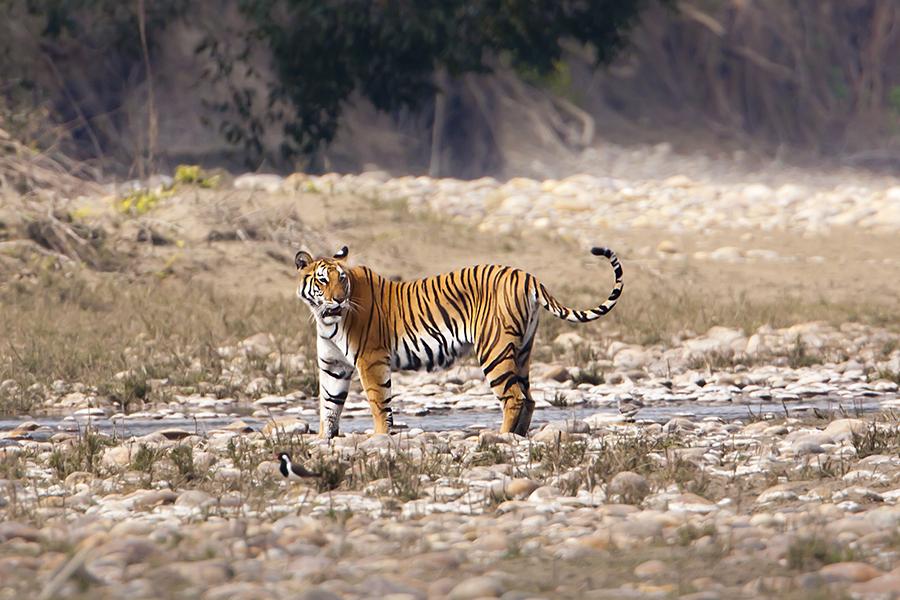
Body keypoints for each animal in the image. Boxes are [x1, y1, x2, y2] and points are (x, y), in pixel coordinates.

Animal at [294, 245, 623, 439]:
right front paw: (324, 439)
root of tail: (526, 275)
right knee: (528, 398)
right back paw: (517, 437)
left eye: (342, 279)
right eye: (323, 280)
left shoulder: (371, 359)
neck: (326, 319)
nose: (339, 299)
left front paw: (379, 438)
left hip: (494, 350)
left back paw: (501, 437)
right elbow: (329, 404)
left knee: (513, 397)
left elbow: (378, 402)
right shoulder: (333, 365)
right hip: (522, 351)